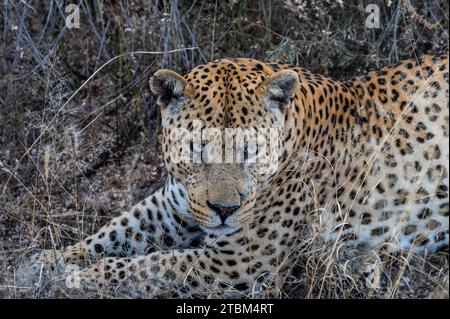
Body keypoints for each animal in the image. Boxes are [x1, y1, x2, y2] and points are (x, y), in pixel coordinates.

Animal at [26, 54, 448, 298]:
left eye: (251, 151)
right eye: (196, 148)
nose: (224, 210)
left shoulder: (239, 260)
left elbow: (150, 266)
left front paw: (80, 278)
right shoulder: (174, 205)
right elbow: (116, 231)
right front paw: (47, 262)